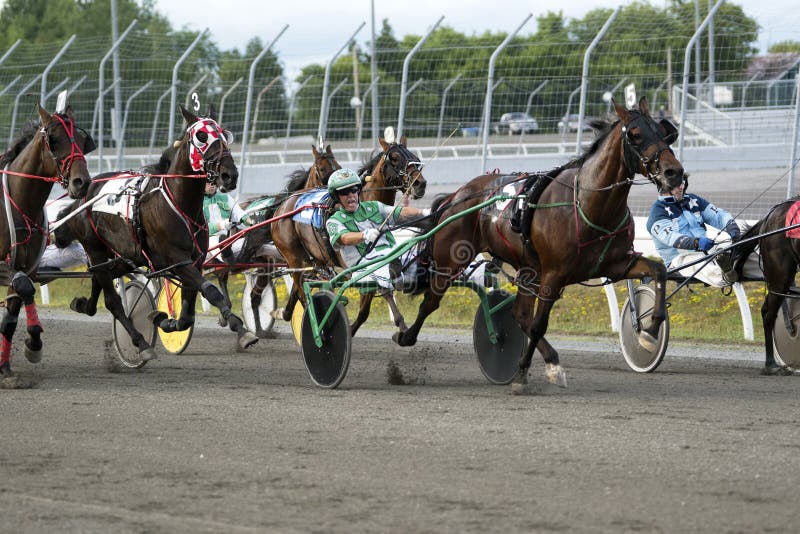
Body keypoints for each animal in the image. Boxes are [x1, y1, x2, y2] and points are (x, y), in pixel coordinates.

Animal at [0, 105, 94, 390]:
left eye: (83, 140)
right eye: (54, 139)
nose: (81, 182)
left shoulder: (24, 268)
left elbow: (15, 308)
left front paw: (14, 362)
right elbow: (24, 288)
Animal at [66, 105, 258, 364]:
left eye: (225, 135)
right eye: (202, 136)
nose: (230, 175)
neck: (180, 203)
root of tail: (85, 189)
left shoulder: (194, 261)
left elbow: (187, 314)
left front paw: (164, 320)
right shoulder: (176, 260)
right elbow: (210, 291)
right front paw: (242, 330)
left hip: (125, 256)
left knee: (99, 277)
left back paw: (83, 304)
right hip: (95, 248)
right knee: (113, 301)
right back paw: (141, 343)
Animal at [272, 135, 428, 336]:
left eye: (414, 156)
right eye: (394, 158)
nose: (420, 184)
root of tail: (283, 205)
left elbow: (375, 299)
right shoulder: (356, 265)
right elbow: (369, 302)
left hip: (314, 258)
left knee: (298, 289)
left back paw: (283, 313)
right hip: (293, 257)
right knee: (301, 292)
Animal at [390, 99, 684, 394]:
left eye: (664, 131)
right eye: (634, 134)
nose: (674, 172)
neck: (587, 204)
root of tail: (458, 194)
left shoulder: (616, 264)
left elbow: (658, 271)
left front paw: (648, 333)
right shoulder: (554, 274)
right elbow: (539, 324)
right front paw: (535, 372)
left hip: (528, 270)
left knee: (519, 314)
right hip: (451, 261)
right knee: (431, 302)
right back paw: (405, 336)